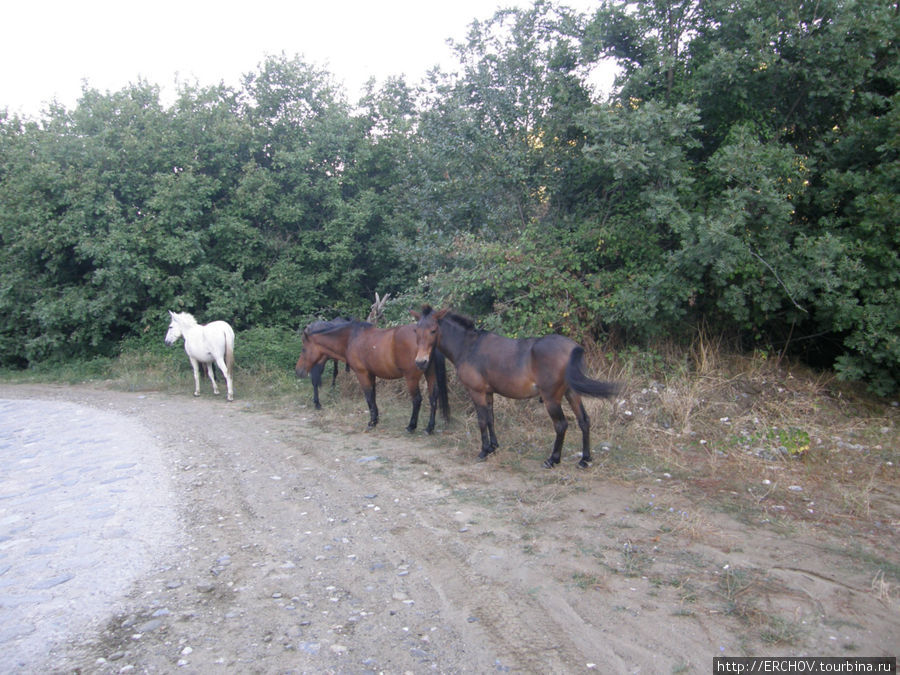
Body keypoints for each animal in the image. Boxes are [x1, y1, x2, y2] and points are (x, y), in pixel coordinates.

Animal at [296, 320, 450, 434]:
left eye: (303, 349)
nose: (298, 371)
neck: (351, 338)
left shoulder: (362, 374)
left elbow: (369, 397)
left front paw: (371, 423)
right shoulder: (372, 374)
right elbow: (373, 397)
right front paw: (375, 420)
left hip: (411, 378)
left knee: (417, 400)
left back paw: (411, 426)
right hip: (430, 374)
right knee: (433, 398)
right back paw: (429, 428)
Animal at [414, 308, 620, 470]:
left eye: (433, 330)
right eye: (416, 330)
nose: (421, 362)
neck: (468, 346)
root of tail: (572, 348)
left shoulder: (477, 392)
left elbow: (482, 421)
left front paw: (483, 451)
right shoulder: (488, 393)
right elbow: (491, 419)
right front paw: (493, 447)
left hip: (552, 398)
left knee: (561, 425)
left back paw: (552, 460)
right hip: (572, 393)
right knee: (584, 421)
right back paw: (585, 459)